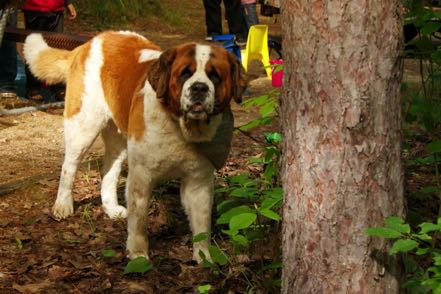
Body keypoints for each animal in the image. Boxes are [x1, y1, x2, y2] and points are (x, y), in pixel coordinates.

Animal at [22, 31, 246, 262]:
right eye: (185, 73)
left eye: (215, 76)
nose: (199, 88)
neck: (179, 126)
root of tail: (89, 43)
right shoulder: (141, 177)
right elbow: (139, 222)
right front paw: (139, 255)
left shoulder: (198, 182)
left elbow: (202, 224)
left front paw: (205, 257)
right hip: (83, 126)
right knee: (69, 166)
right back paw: (63, 205)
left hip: (119, 138)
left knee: (109, 170)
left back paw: (110, 208)